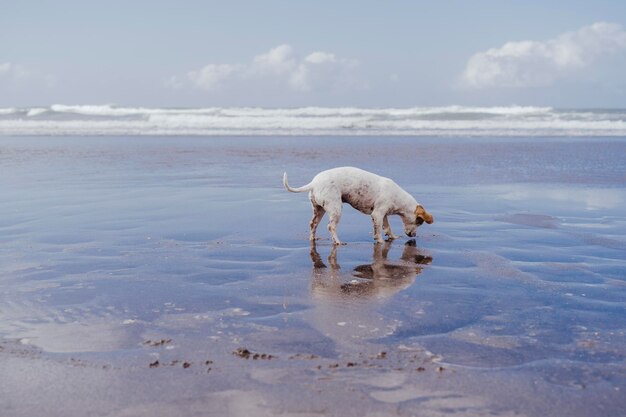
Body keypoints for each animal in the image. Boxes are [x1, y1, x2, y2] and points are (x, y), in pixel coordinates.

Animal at [282, 166, 432, 244]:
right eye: (419, 222)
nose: (414, 236)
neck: (398, 198)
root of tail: (313, 183)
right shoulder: (377, 214)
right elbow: (378, 231)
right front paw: (380, 241)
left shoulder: (382, 215)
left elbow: (387, 228)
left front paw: (393, 237)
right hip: (336, 208)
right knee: (331, 226)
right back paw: (338, 242)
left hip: (319, 209)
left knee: (313, 224)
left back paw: (313, 238)